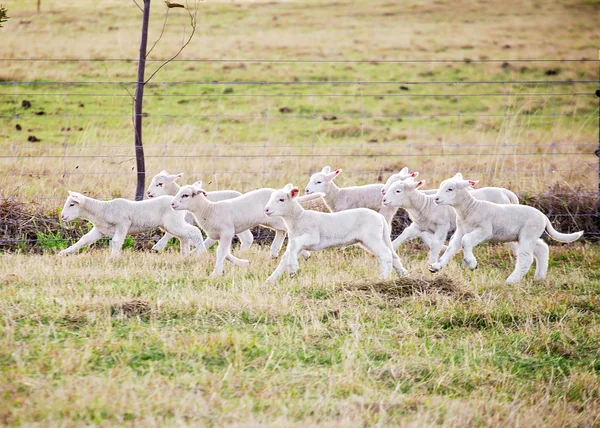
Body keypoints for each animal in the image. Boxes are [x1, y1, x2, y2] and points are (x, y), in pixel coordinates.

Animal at [60, 191, 206, 258]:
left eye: (72, 204)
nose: (62, 216)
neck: (102, 209)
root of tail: (178, 203)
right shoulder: (100, 230)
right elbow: (84, 239)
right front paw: (65, 252)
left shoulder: (123, 223)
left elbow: (117, 241)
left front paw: (112, 258)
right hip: (173, 224)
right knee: (184, 237)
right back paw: (184, 255)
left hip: (173, 223)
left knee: (194, 231)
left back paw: (201, 252)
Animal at [170, 181, 308, 276]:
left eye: (185, 195)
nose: (172, 204)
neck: (209, 210)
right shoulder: (219, 235)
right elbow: (225, 253)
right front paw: (243, 263)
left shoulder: (227, 232)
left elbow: (221, 252)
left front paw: (216, 274)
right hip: (272, 221)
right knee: (282, 231)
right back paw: (275, 251)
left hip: (277, 219)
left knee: (289, 230)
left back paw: (304, 253)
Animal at [264, 183, 408, 280]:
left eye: (281, 199)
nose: (266, 210)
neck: (299, 218)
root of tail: (380, 217)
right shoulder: (298, 240)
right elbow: (285, 257)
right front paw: (271, 279)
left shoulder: (313, 237)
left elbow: (294, 245)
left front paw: (293, 269)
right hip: (374, 238)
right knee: (392, 255)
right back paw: (403, 275)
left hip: (372, 237)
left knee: (385, 254)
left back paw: (383, 277)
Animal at [428, 174, 584, 284]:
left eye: (450, 189)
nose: (436, 199)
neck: (471, 208)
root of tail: (544, 218)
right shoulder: (461, 231)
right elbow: (452, 247)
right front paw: (436, 266)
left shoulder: (484, 230)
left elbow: (466, 241)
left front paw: (472, 263)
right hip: (523, 236)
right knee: (542, 249)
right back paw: (539, 277)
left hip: (528, 234)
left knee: (526, 258)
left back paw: (511, 281)